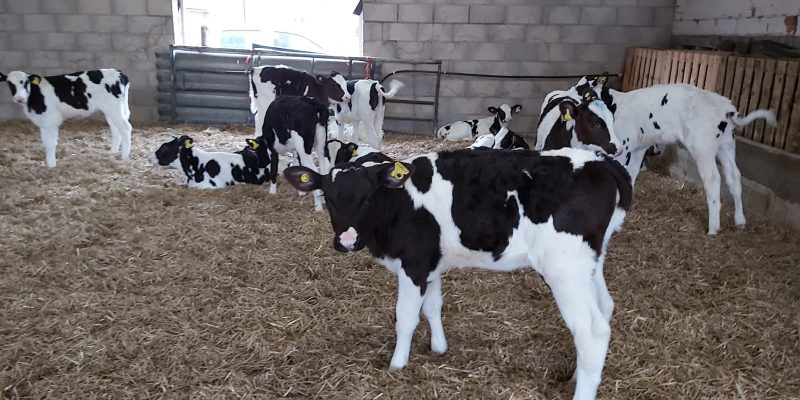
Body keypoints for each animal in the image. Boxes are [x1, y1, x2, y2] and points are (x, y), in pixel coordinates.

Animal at [0, 69, 132, 168]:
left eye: (25, 82)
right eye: (10, 83)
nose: (19, 98)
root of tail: (118, 72)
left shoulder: (50, 120)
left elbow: (50, 143)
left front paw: (51, 165)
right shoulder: (42, 122)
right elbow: (46, 142)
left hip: (114, 108)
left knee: (126, 128)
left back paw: (124, 157)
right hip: (111, 110)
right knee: (116, 129)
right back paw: (113, 153)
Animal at [283, 147, 632, 400]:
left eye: (368, 196)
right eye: (328, 197)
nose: (347, 241)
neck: (399, 202)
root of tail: (601, 162)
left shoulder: (413, 263)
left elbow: (406, 316)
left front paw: (397, 364)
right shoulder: (430, 263)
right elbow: (432, 306)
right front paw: (439, 347)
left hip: (565, 267)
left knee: (591, 331)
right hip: (589, 264)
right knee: (605, 307)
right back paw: (576, 373)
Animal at [538, 75, 777, 235]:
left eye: (582, 88)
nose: (563, 100)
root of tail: (726, 107)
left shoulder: (622, 147)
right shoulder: (636, 149)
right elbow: (631, 174)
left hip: (703, 147)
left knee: (713, 180)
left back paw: (713, 227)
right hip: (727, 145)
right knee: (734, 178)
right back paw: (740, 220)